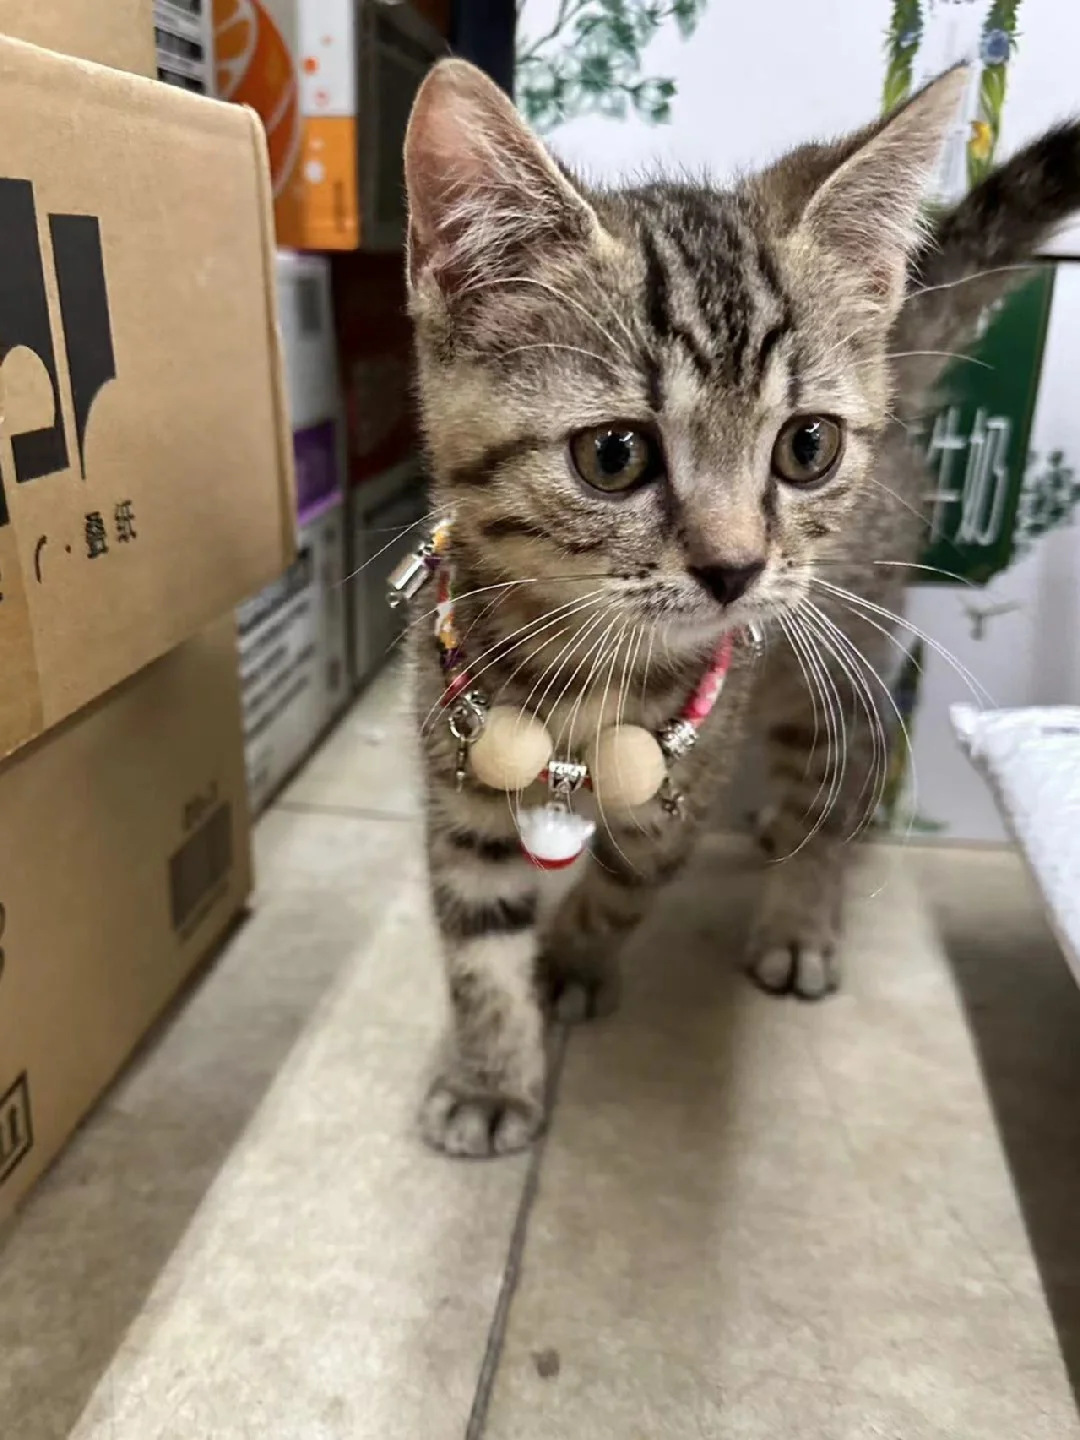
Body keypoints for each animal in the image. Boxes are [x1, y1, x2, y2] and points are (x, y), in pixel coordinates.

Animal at [402, 56, 1080, 1157]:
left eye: (807, 446)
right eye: (613, 455)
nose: (735, 568)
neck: (579, 668)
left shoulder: (682, 789)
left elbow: (624, 886)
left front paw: (571, 966)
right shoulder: (456, 771)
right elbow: (475, 934)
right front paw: (490, 1074)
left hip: (843, 657)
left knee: (843, 778)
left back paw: (801, 912)